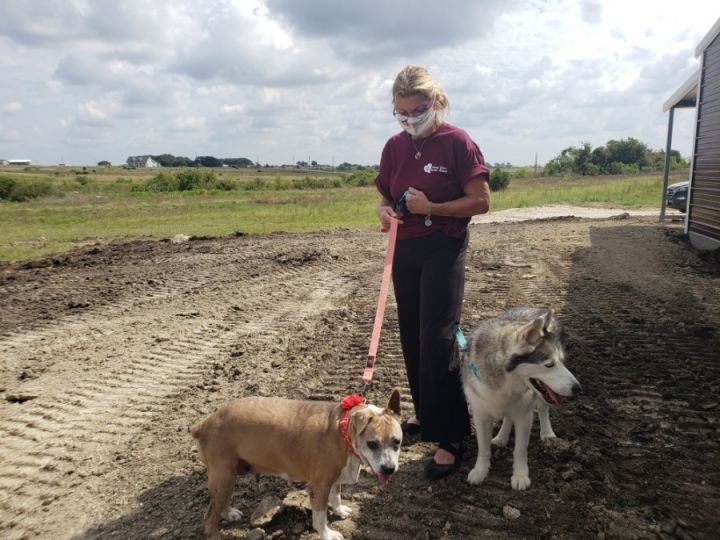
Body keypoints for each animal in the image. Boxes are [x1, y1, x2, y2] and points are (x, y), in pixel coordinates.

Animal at [191, 390, 402, 536]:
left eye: (397, 442)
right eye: (372, 444)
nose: (389, 469)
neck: (343, 430)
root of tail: (205, 423)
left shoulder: (334, 480)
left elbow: (336, 496)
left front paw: (339, 510)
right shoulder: (319, 486)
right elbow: (320, 517)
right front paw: (327, 534)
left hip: (227, 477)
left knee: (218, 503)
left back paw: (228, 513)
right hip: (223, 476)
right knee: (209, 517)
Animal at [462, 308, 580, 490]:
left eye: (561, 361)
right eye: (549, 365)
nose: (578, 388)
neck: (504, 383)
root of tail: (534, 308)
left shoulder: (524, 416)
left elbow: (520, 449)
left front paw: (520, 475)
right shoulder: (480, 415)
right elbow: (483, 448)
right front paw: (480, 470)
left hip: (540, 398)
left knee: (543, 410)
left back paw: (547, 434)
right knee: (509, 417)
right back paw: (502, 437)